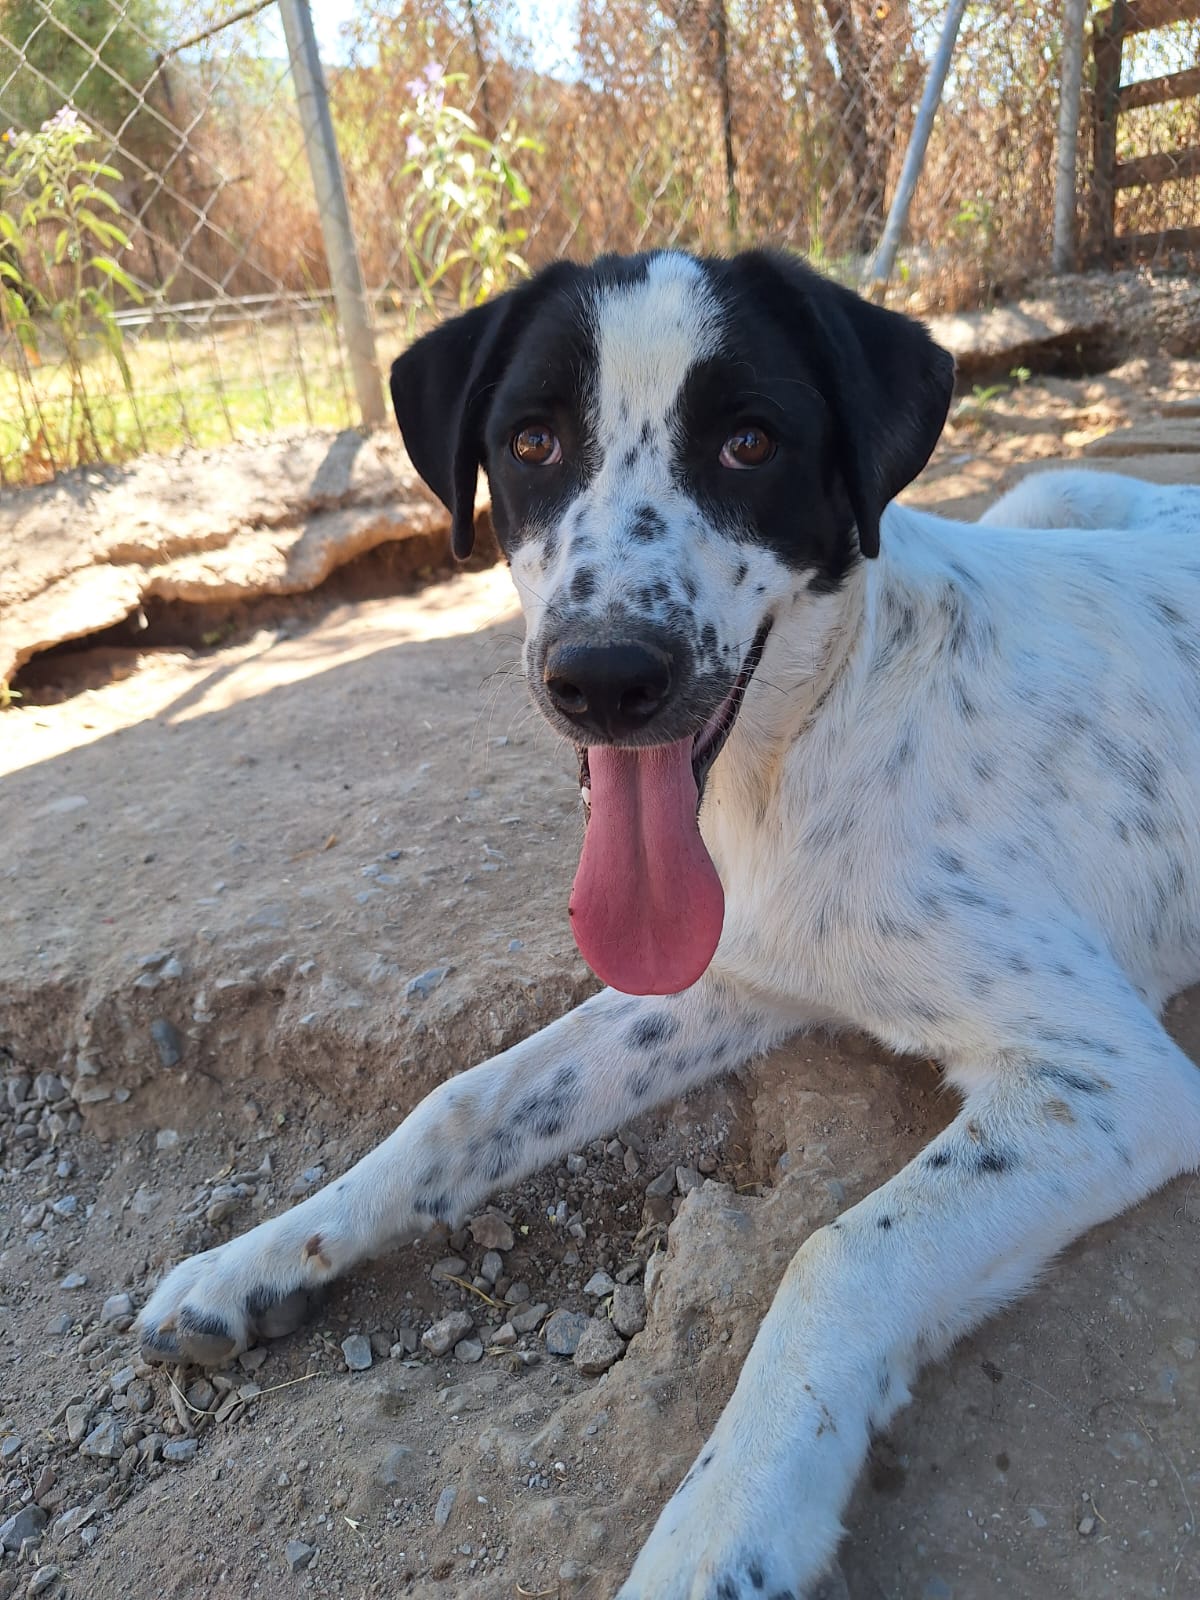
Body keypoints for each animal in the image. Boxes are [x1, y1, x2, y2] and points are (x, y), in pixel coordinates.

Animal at [138, 249, 1200, 1599]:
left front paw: (722, 1527)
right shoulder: (729, 970)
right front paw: (262, 1256)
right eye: (533, 440)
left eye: (750, 443)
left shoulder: (1108, 1078)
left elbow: (838, 1256)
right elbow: (463, 1103)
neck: (809, 748)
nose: (603, 676)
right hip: (1047, 489)